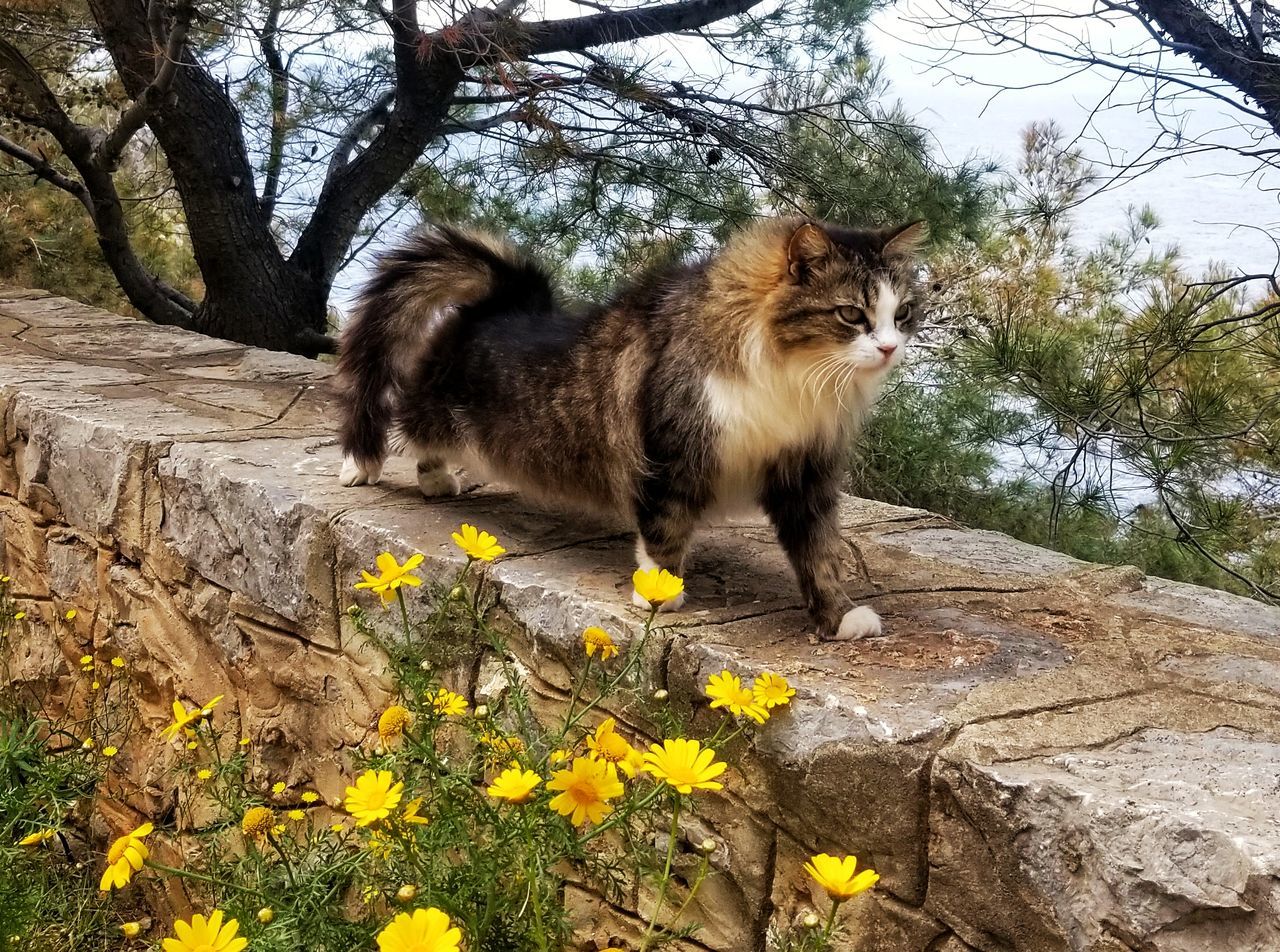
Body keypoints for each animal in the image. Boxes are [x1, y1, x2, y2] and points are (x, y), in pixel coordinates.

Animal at [335, 216, 926, 639]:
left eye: (904, 314)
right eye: (851, 315)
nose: (890, 348)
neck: (794, 379)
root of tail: (505, 302)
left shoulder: (803, 468)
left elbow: (820, 551)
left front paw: (839, 616)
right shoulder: (673, 454)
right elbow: (665, 530)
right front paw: (659, 592)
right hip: (433, 412)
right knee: (395, 418)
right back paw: (378, 470)